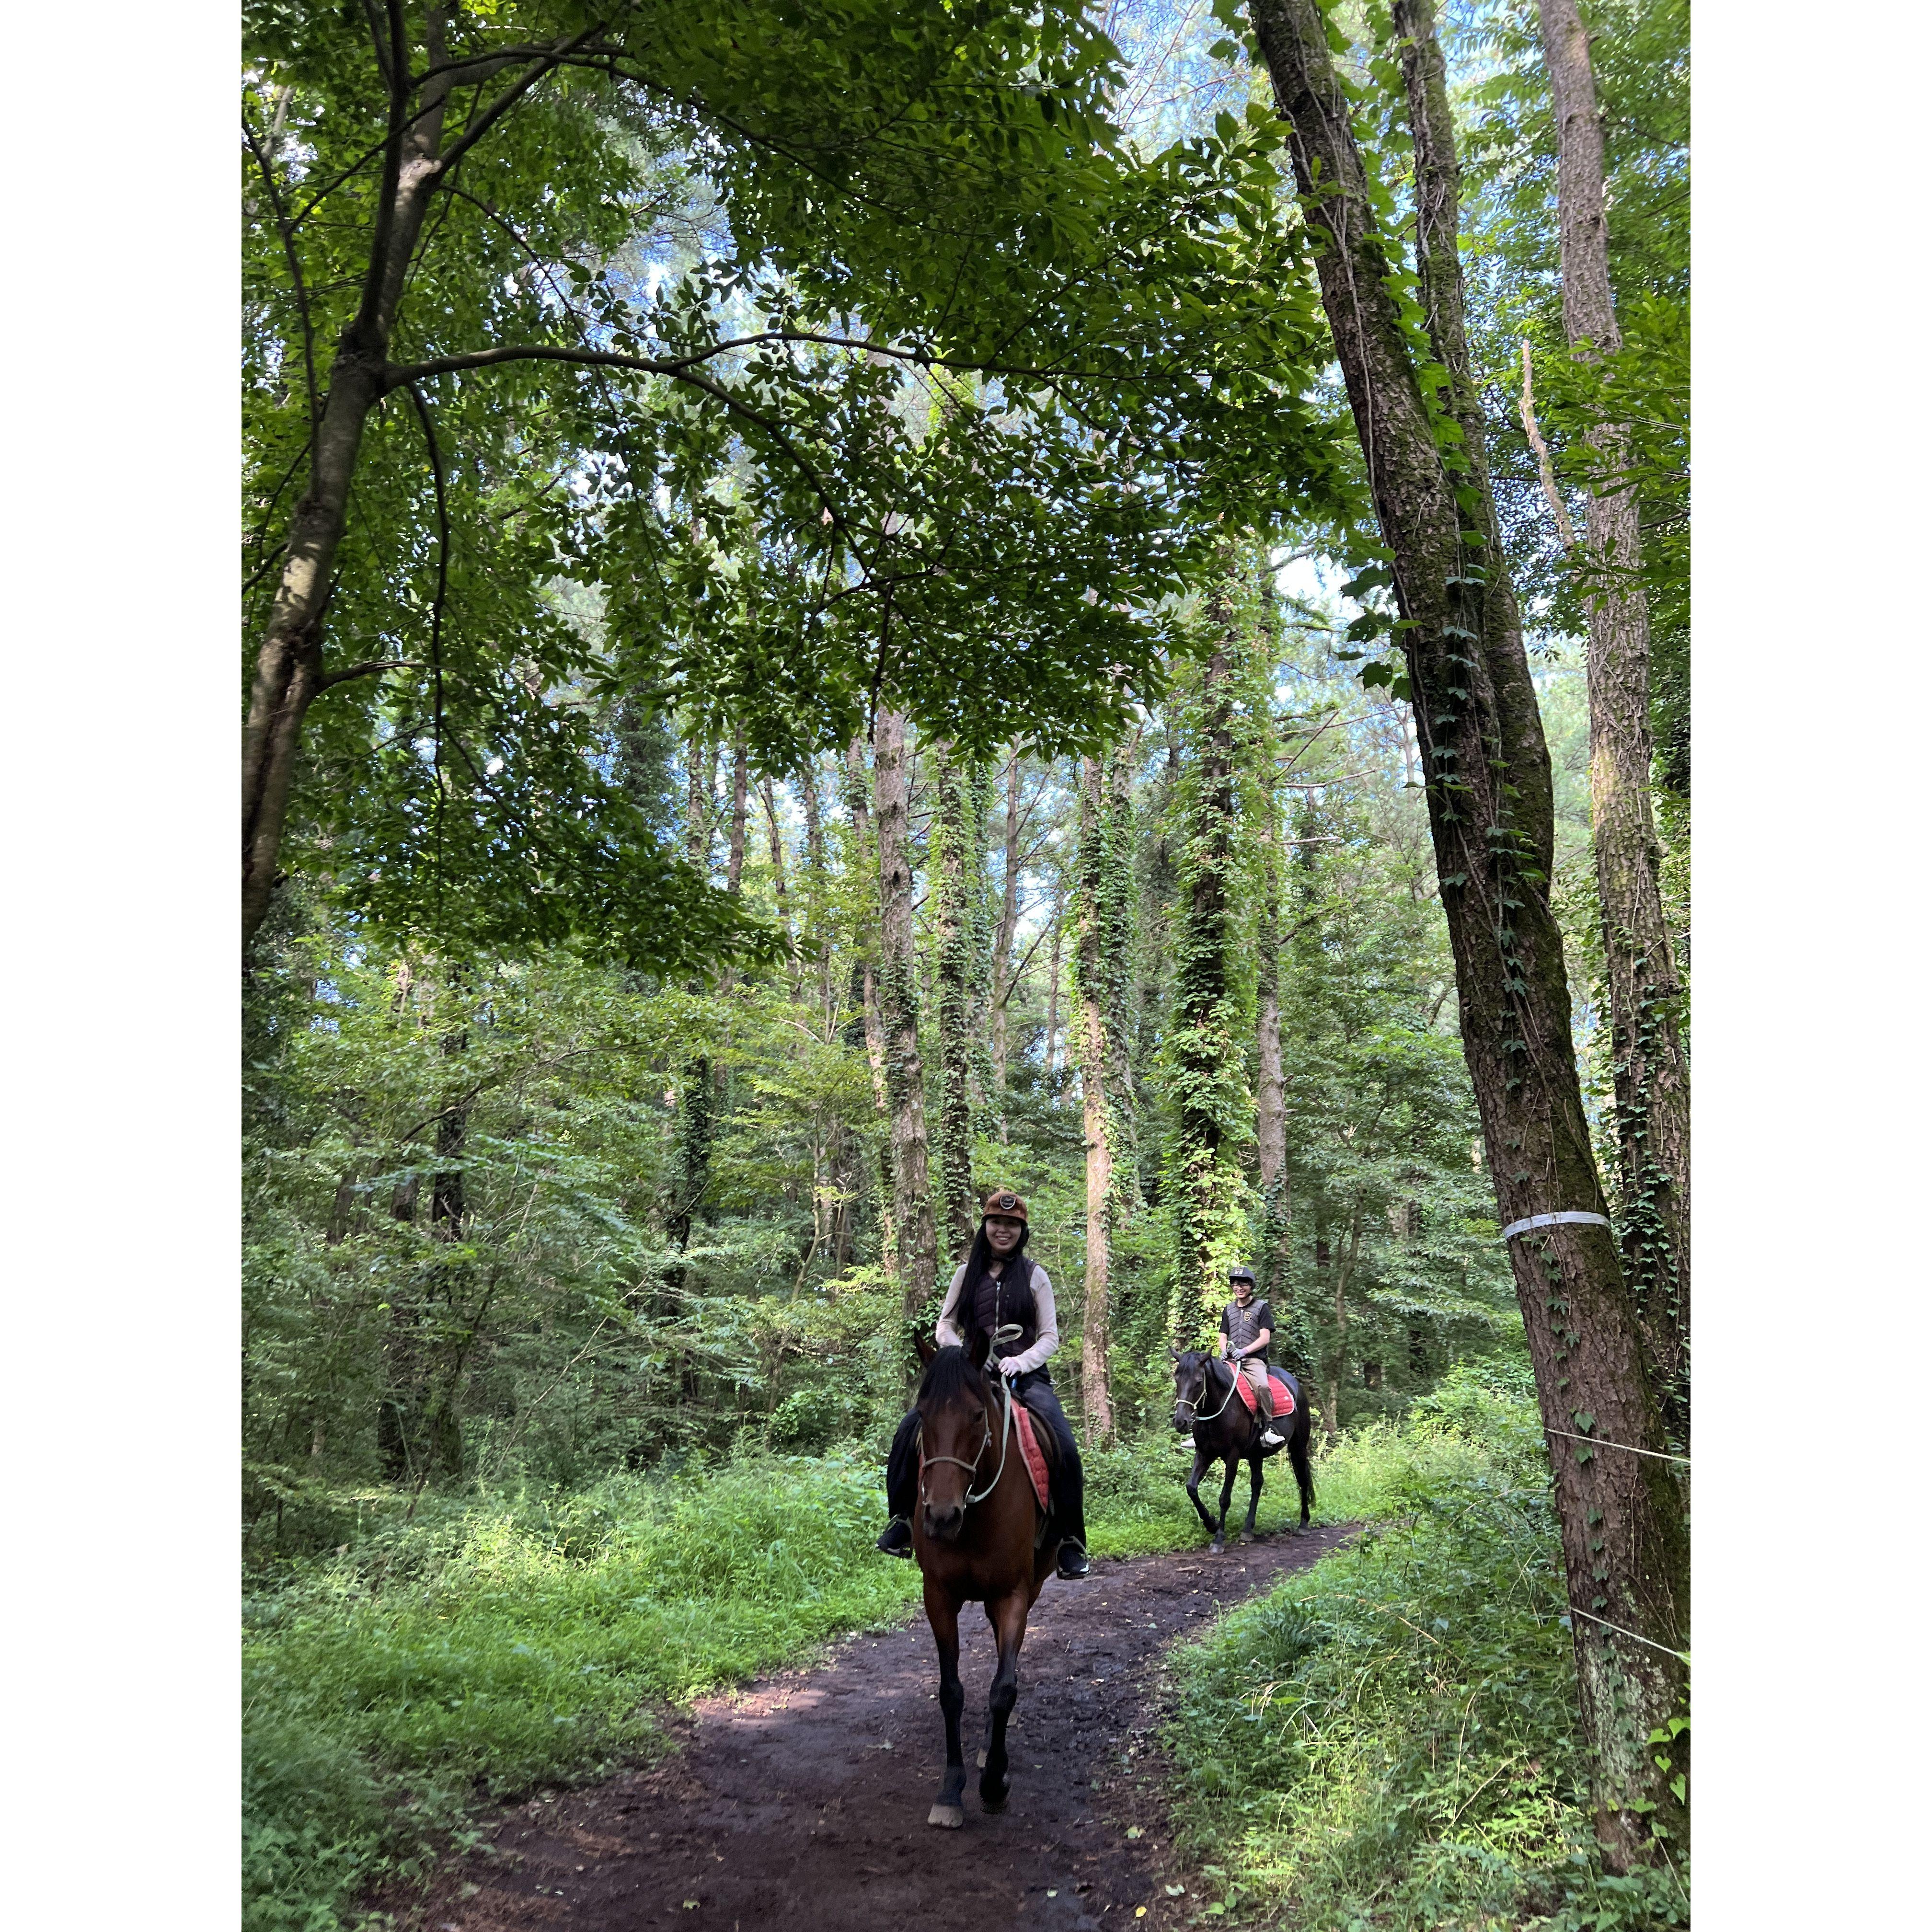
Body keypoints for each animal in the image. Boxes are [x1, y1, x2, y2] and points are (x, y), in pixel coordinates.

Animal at [912, 1321, 1066, 1831]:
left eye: (978, 1416)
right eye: (922, 1415)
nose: (941, 1518)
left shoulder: (1014, 1594)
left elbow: (1004, 1689)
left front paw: (995, 1783)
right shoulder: (938, 1596)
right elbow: (951, 1692)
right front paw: (950, 1791)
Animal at [1159, 1360, 1313, 1553]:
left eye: (1198, 1382)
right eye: (1177, 1379)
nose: (1181, 1422)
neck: (1218, 1405)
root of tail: (1296, 1385)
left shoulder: (1232, 1456)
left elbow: (1225, 1499)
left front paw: (1218, 1539)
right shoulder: (1204, 1454)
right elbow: (1192, 1489)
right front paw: (1211, 1524)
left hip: (1298, 1447)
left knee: (1302, 1480)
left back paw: (1304, 1524)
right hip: (1256, 1454)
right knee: (1257, 1483)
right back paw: (1248, 1529)